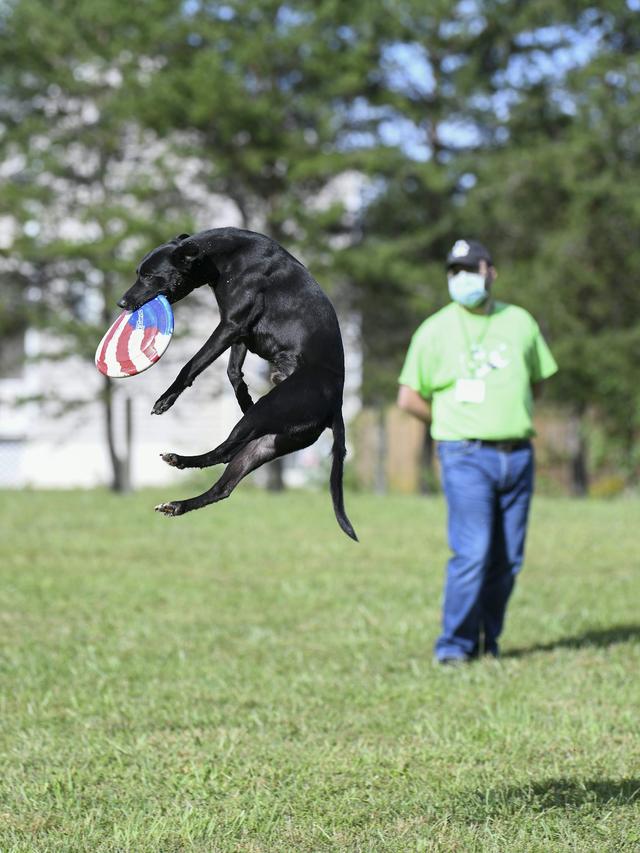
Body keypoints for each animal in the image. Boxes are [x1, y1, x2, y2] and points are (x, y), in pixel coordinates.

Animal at [117, 228, 358, 540]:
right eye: (138, 272)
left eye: (148, 276)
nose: (122, 304)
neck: (223, 256)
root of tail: (335, 406)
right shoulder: (240, 332)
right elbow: (232, 371)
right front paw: (243, 397)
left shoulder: (230, 325)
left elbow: (192, 364)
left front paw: (166, 399)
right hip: (267, 444)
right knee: (223, 485)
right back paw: (178, 501)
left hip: (267, 413)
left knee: (224, 451)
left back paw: (178, 460)